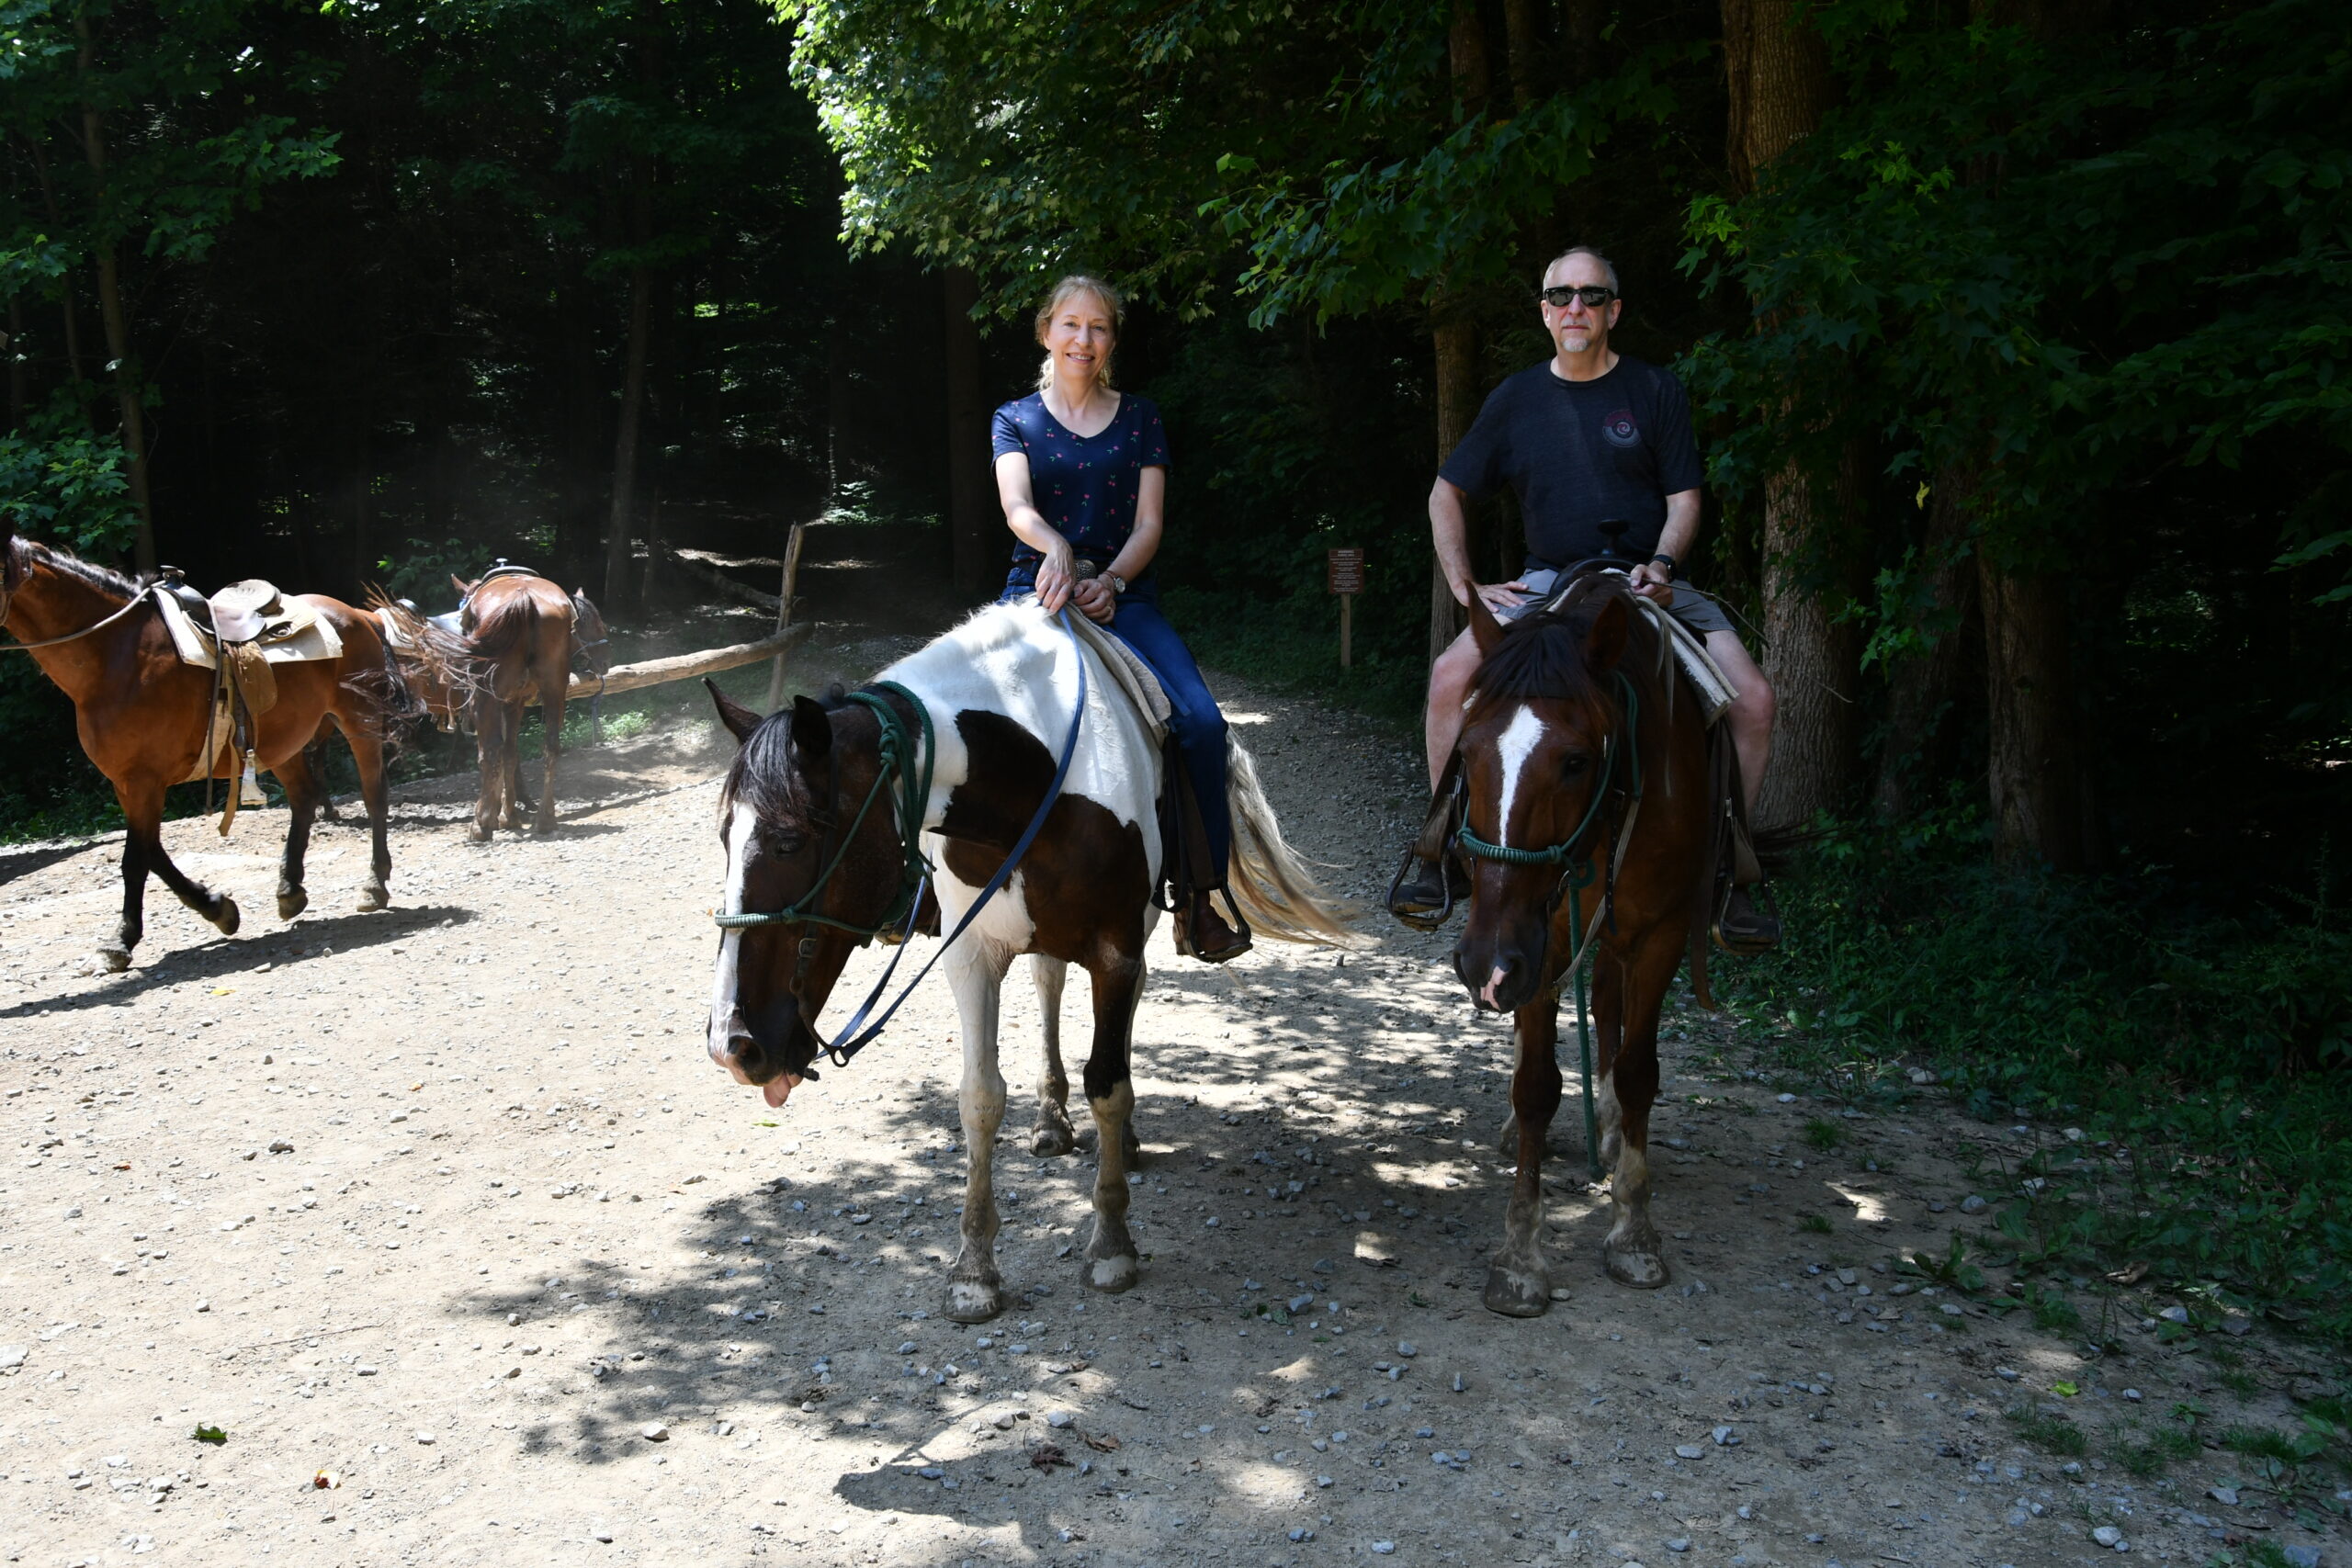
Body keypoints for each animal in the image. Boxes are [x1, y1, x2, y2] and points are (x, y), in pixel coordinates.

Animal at [0, 524, 442, 968]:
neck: (116, 657)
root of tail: (362, 616)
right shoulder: (127, 783)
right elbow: (152, 852)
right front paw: (218, 909)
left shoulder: (143, 781)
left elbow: (136, 859)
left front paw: (121, 939)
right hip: (280, 743)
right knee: (304, 798)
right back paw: (290, 890)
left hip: (359, 723)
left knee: (373, 795)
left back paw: (374, 884)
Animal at [695, 602, 1363, 1325]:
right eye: (724, 838)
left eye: (790, 840)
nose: (732, 1045)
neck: (1034, 780)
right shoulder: (971, 954)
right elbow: (980, 1097)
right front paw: (975, 1271)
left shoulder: (1115, 948)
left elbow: (1109, 1082)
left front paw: (1111, 1245)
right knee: (1049, 984)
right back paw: (1050, 1121)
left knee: (1121, 1015)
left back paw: (1122, 1142)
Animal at [1439, 573, 1721, 1316]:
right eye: (1465, 753)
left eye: (1574, 761)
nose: (1481, 962)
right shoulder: (1538, 941)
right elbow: (1537, 1085)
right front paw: (1520, 1256)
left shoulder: (1660, 934)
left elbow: (1638, 1071)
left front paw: (1634, 1232)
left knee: (1609, 1015)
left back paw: (1613, 1132)